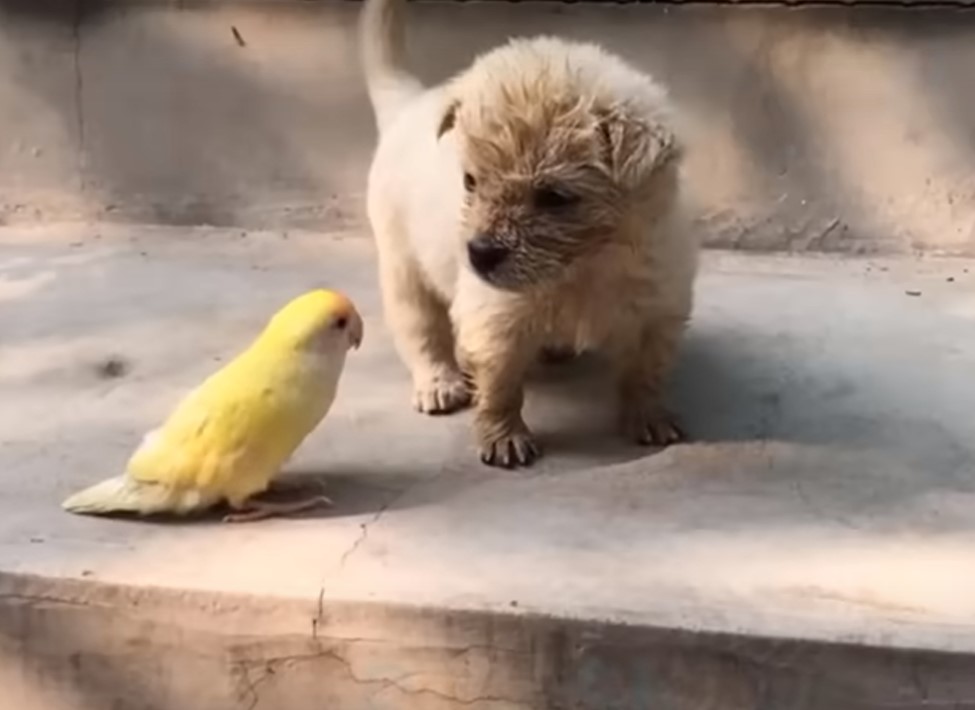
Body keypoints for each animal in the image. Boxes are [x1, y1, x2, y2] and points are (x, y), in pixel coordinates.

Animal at [362, 0, 696, 470]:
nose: (478, 254)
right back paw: (439, 383)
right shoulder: (495, 319)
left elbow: (646, 372)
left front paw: (648, 416)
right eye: (470, 182)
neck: (585, 267)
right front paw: (505, 438)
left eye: (554, 196)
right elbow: (501, 387)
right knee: (421, 330)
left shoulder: (659, 308)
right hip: (403, 267)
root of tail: (409, 105)